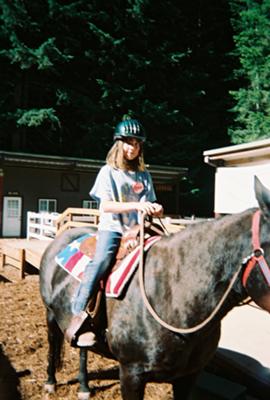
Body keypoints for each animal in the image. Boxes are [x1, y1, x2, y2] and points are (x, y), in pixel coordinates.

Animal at [39, 178, 270, 400]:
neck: (174, 296)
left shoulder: (188, 376)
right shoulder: (131, 373)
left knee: (83, 350)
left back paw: (84, 387)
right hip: (50, 314)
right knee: (52, 342)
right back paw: (50, 382)